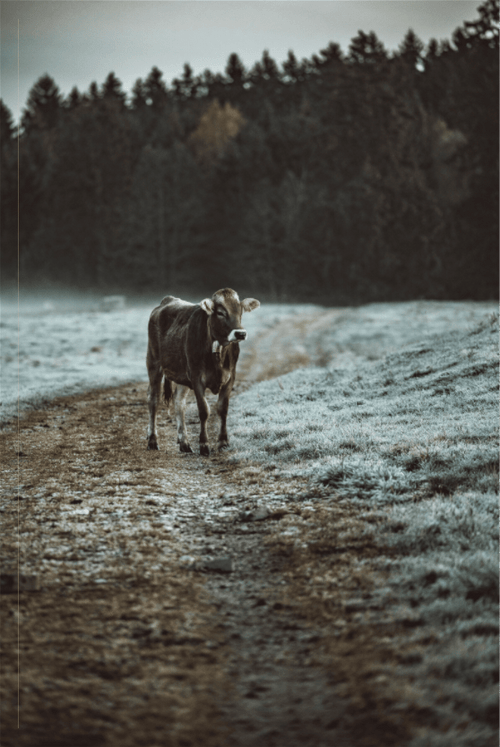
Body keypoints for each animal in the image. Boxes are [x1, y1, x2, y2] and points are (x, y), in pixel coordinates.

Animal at [146, 288, 260, 456]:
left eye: (240, 310)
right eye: (220, 312)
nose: (240, 334)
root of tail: (167, 300)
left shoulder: (230, 377)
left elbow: (223, 409)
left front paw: (223, 442)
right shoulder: (197, 378)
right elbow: (204, 411)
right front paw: (204, 444)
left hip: (182, 374)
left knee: (179, 401)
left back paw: (184, 443)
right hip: (153, 362)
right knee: (153, 399)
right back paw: (152, 440)